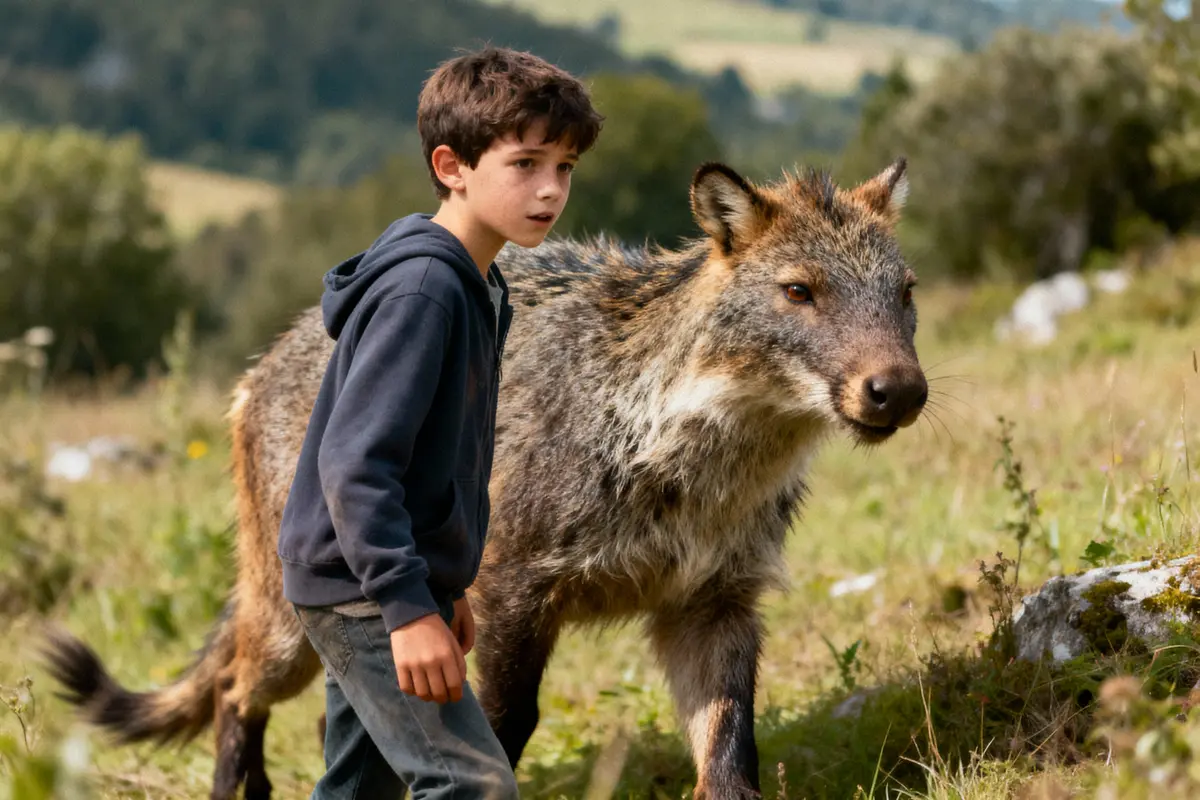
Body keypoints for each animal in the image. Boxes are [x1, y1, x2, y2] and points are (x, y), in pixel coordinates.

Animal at [45, 158, 926, 799]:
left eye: (904, 293)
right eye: (799, 291)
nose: (900, 391)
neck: (675, 454)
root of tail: (259, 367)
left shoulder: (713, 607)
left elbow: (731, 754)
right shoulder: (512, 596)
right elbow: (505, 733)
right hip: (292, 631)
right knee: (231, 689)